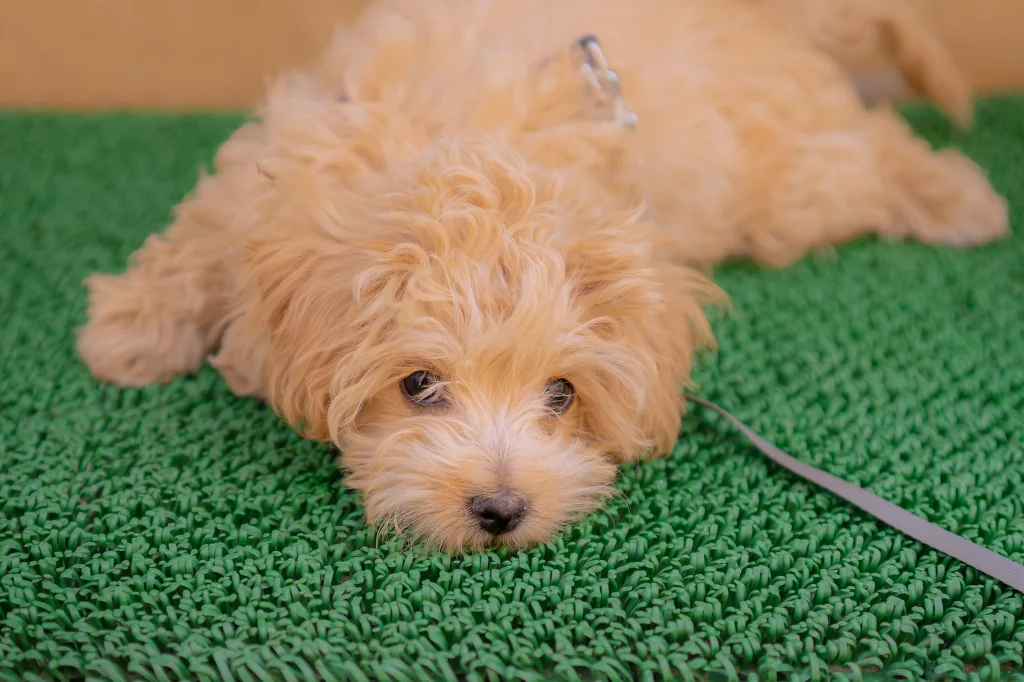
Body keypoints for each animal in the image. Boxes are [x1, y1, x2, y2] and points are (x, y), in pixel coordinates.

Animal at [77, 0, 1007, 552]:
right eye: (418, 385)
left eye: (561, 395)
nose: (500, 511)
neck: (459, 145)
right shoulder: (267, 175)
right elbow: (200, 239)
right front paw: (129, 331)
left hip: (790, 183)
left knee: (872, 151)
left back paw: (960, 198)